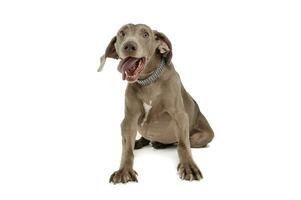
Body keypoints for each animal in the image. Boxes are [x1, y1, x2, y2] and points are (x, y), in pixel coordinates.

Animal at [98, 23, 213, 184]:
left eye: (146, 34)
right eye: (122, 33)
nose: (129, 46)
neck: (148, 81)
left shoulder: (180, 116)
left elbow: (183, 145)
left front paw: (188, 167)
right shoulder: (129, 120)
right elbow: (127, 150)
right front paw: (124, 170)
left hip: (203, 136)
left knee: (182, 141)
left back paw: (161, 144)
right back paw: (141, 142)